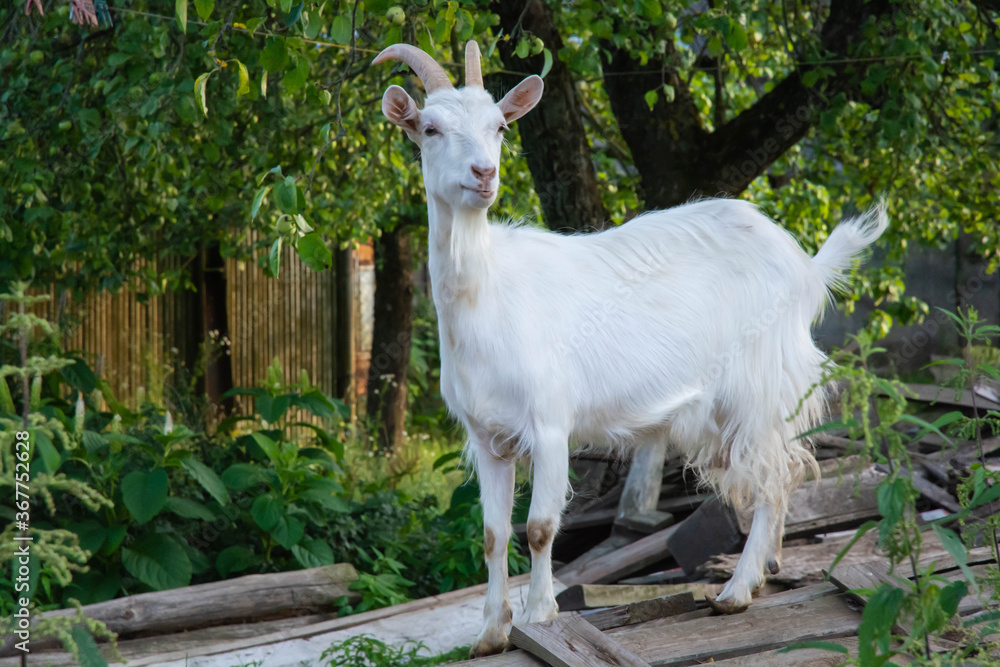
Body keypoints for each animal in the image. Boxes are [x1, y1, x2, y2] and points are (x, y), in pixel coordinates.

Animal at [374, 41, 887, 657]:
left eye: (500, 127)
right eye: (429, 128)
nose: (484, 174)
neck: (488, 297)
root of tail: (805, 264)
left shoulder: (550, 424)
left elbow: (540, 528)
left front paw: (541, 616)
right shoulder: (487, 437)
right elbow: (494, 534)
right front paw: (490, 633)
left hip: (759, 388)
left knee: (775, 473)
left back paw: (737, 590)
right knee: (776, 473)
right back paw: (767, 570)